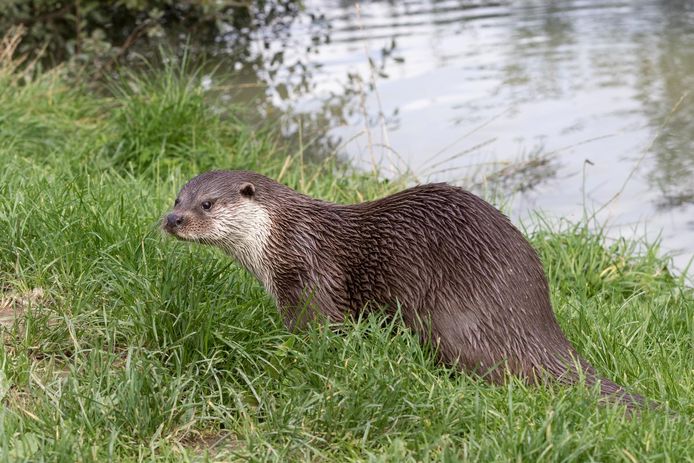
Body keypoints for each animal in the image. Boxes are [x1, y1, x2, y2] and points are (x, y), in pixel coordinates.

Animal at [163, 171, 648, 410]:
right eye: (176, 198)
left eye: (207, 204)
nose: (173, 220)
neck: (282, 239)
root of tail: (533, 317)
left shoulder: (310, 280)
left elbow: (318, 333)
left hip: (450, 319)